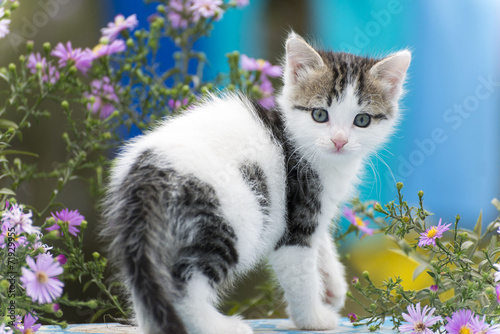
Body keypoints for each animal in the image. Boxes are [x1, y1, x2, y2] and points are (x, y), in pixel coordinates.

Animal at [101, 32, 410, 334]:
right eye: (320, 115)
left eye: (362, 120)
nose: (339, 141)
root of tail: (148, 175)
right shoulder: (296, 218)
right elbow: (301, 273)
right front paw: (313, 318)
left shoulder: (316, 210)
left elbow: (321, 242)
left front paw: (333, 284)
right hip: (229, 219)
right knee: (185, 284)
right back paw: (218, 326)